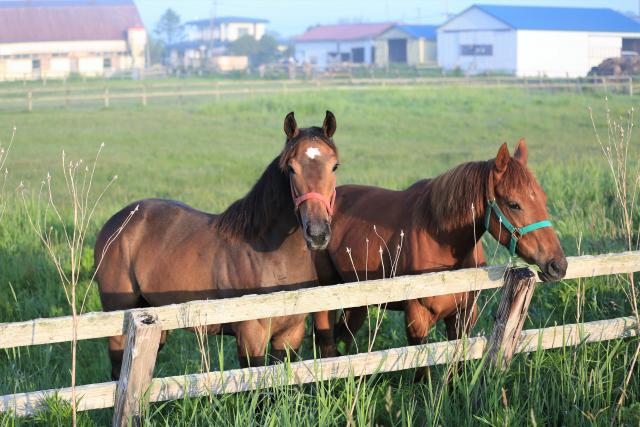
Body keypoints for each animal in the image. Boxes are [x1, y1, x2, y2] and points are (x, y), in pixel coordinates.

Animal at [95, 110, 340, 382]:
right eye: (291, 169)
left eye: (334, 166)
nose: (317, 233)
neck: (275, 261)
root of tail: (116, 223)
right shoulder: (251, 337)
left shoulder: (290, 334)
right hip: (120, 320)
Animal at [312, 139, 568, 380]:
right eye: (514, 204)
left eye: (543, 197)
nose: (558, 265)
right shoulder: (416, 317)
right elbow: (422, 370)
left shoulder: (464, 315)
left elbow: (457, 365)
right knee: (327, 342)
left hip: (357, 302)